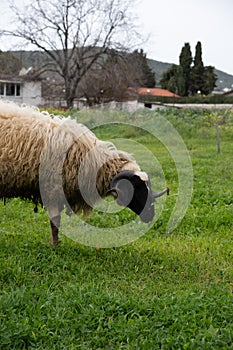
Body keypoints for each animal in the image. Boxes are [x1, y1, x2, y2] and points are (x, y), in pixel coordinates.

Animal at [0, 100, 168, 245]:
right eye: (136, 189)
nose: (150, 215)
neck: (91, 161)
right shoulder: (51, 189)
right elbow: (55, 222)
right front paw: (54, 246)